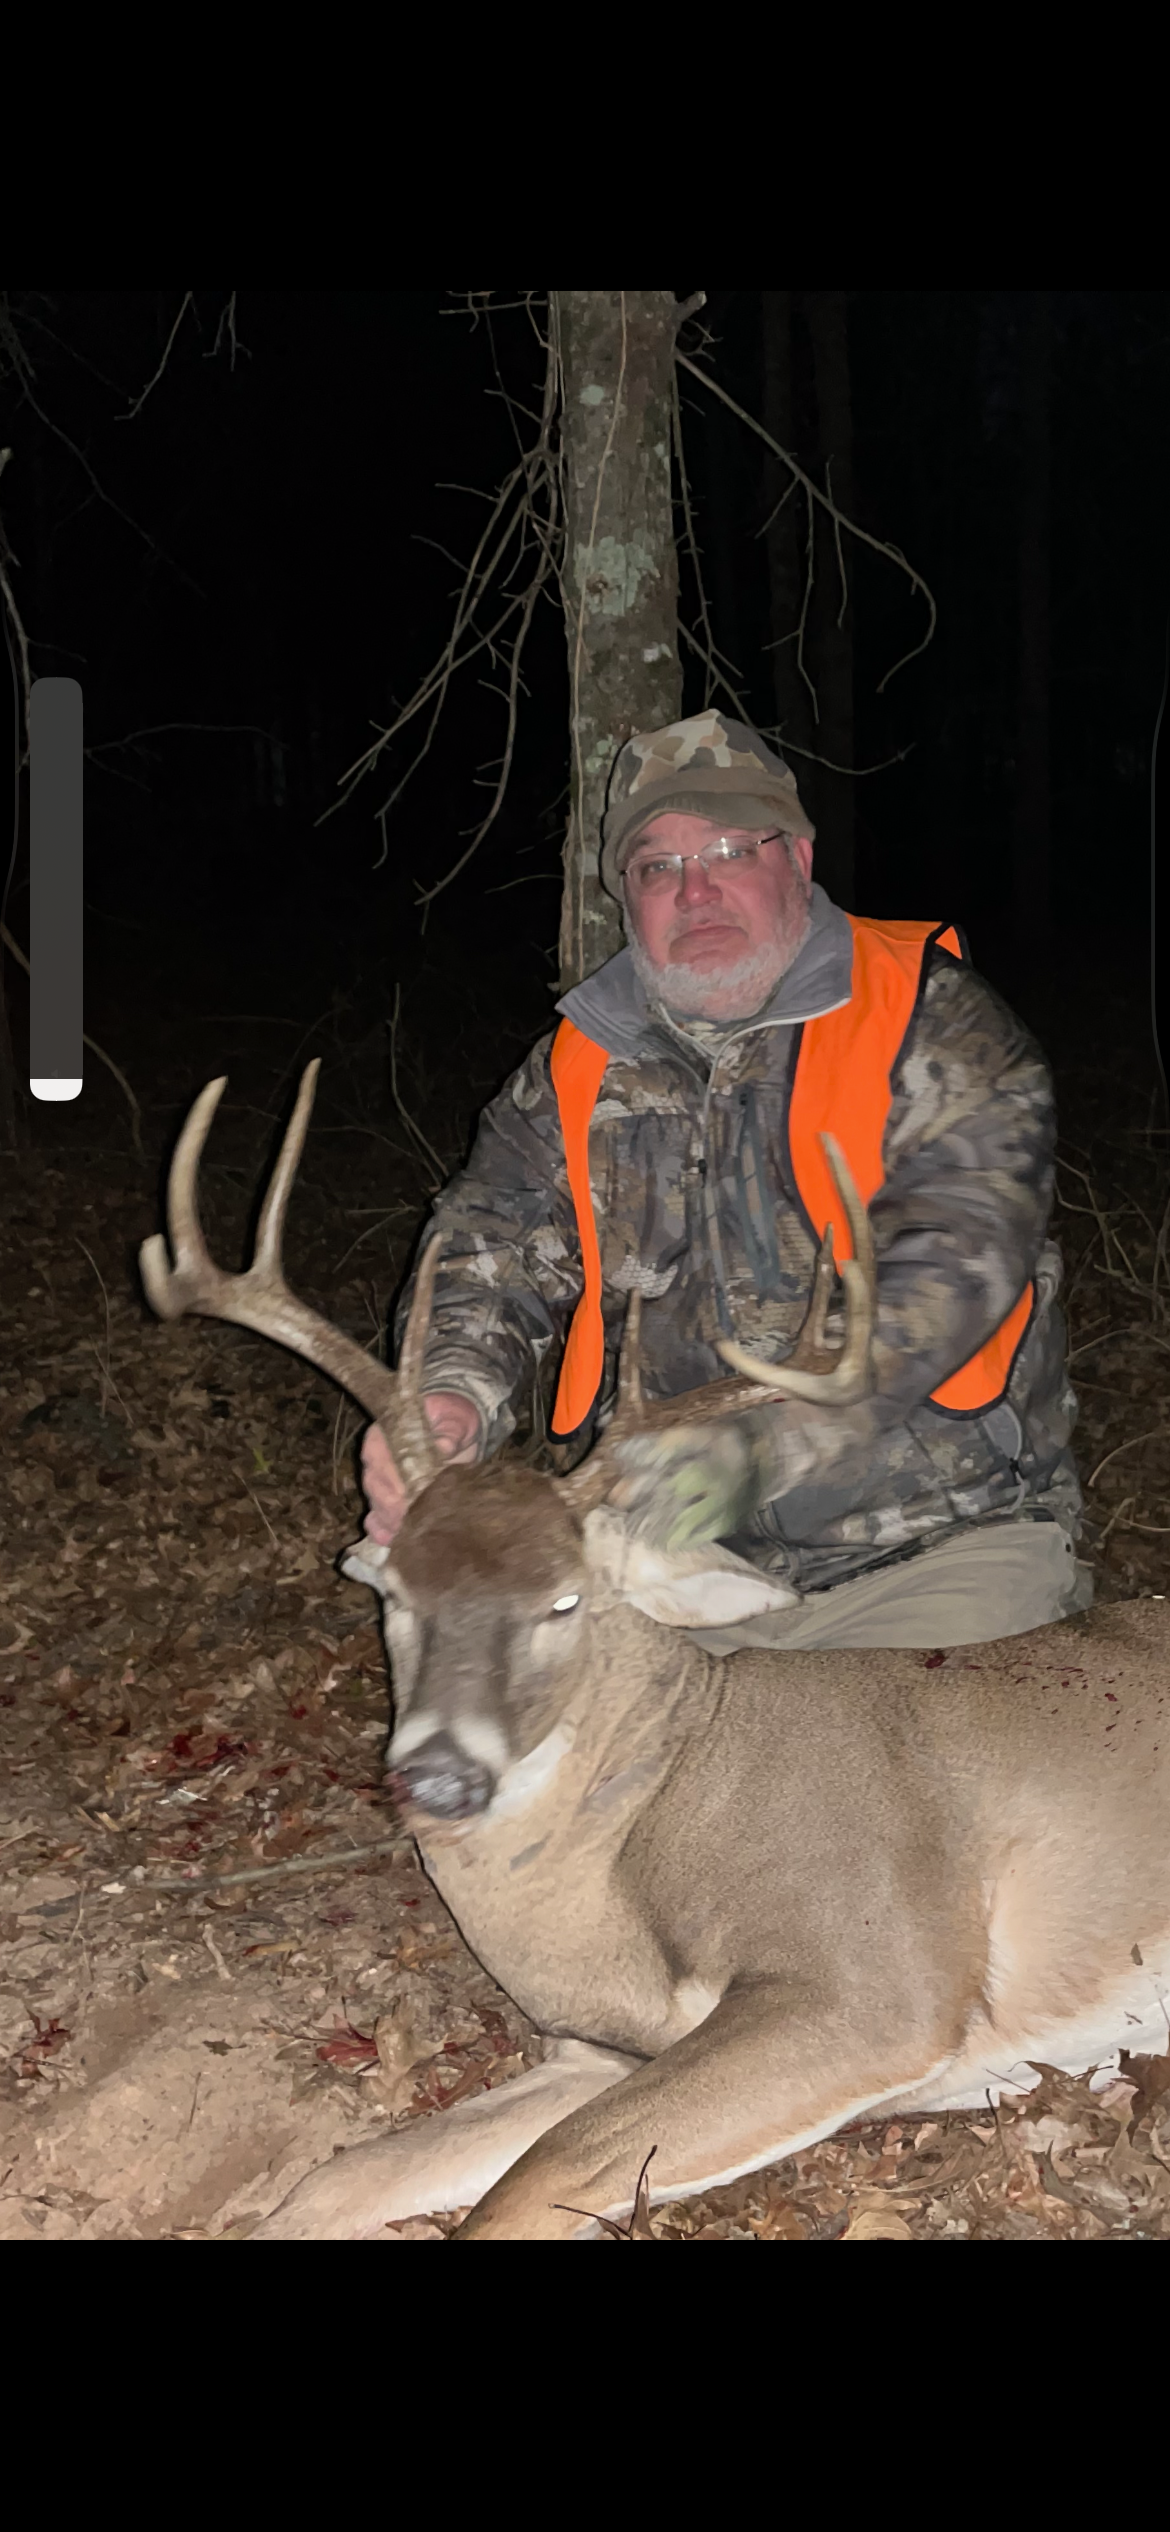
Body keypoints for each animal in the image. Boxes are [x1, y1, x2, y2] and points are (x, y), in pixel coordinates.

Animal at [139, 1061, 1170, 2241]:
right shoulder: (595, 2051)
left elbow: (533, 2180)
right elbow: (339, 2177)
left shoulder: (882, 1976)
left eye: (565, 1599)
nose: (439, 1775)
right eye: (397, 1593)